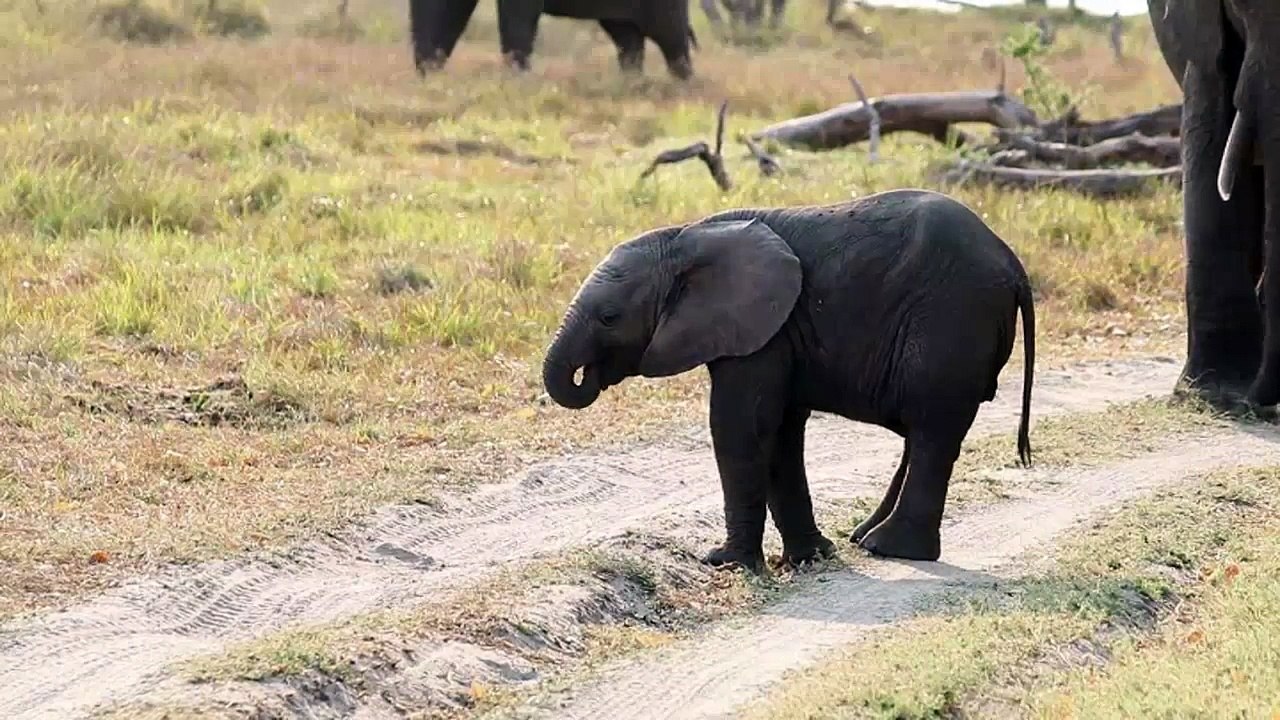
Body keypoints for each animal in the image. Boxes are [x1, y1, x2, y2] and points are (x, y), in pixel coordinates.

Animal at [541, 189, 1036, 570]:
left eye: (609, 317)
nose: (588, 374)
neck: (684, 235)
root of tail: (1014, 265)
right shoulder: (779, 331)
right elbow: (779, 431)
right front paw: (809, 559)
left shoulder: (764, 331)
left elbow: (740, 426)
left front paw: (725, 563)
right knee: (924, 432)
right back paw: (863, 538)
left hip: (952, 319)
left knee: (932, 429)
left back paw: (890, 550)